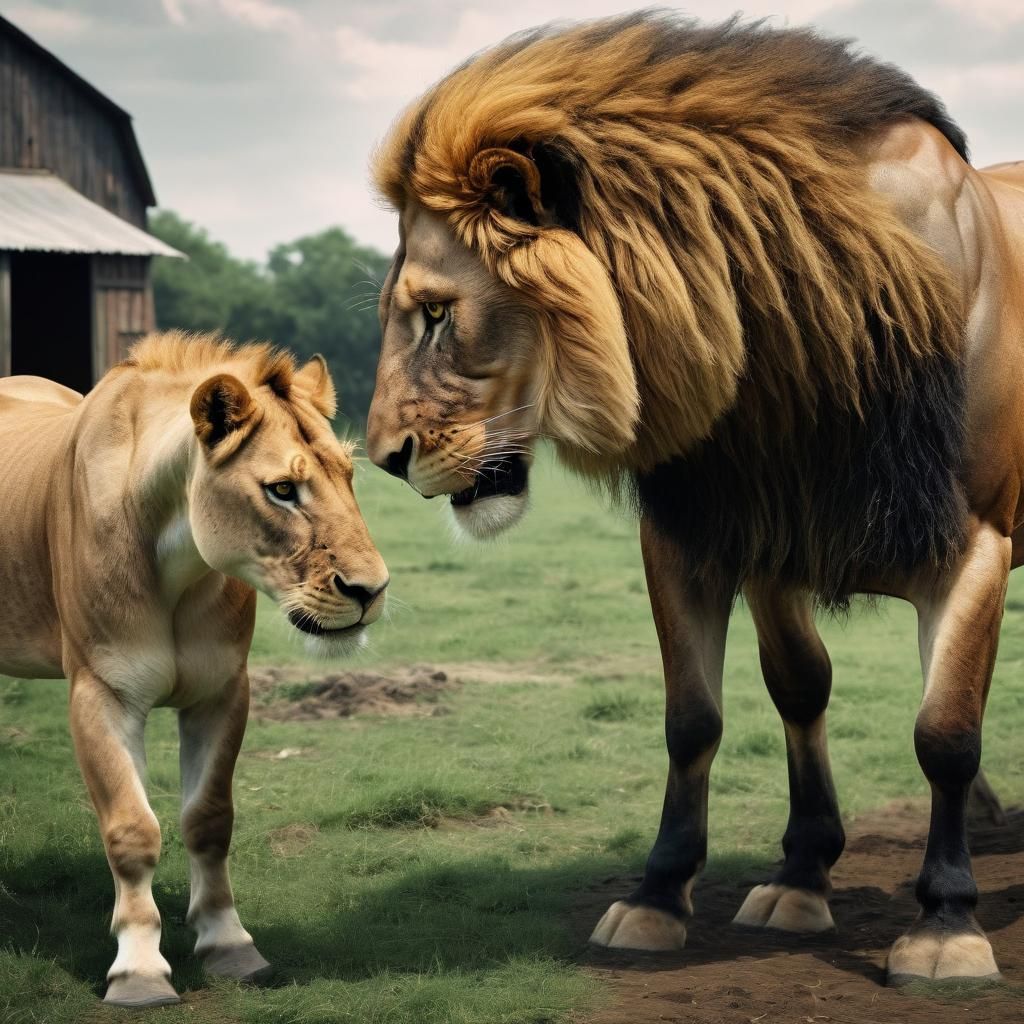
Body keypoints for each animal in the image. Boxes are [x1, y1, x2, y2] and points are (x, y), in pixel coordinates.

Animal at [0, 332, 389, 1006]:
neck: (179, 566)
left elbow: (209, 819)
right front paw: (139, 971)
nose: (371, 590)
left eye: (348, 474)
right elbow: (133, 830)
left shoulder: (221, 690)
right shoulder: (101, 694)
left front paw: (229, 947)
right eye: (282, 490)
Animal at [366, 13, 1024, 987]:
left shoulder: (973, 541)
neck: (788, 357)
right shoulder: (725, 537)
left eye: (439, 313)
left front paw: (945, 925)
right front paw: (720, 888)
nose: (382, 459)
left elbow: (943, 730)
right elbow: (727, 708)